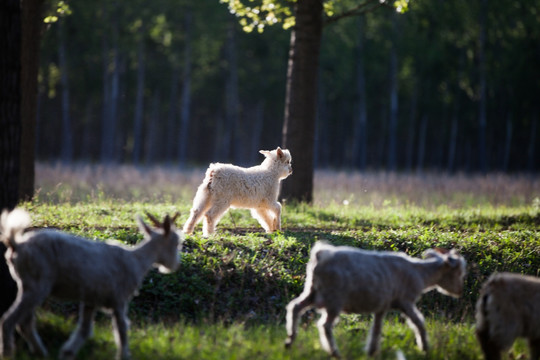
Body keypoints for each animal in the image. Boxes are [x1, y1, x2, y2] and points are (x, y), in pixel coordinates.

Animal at [0, 208, 184, 360]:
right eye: (177, 243)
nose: (176, 265)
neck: (137, 261)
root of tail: (16, 245)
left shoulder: (91, 299)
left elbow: (85, 330)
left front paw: (67, 352)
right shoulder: (118, 298)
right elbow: (122, 329)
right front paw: (123, 355)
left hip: (29, 284)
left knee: (25, 322)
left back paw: (40, 353)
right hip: (37, 283)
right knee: (11, 320)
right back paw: (9, 353)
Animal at [284, 242, 466, 358]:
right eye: (458, 272)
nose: (459, 292)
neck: (421, 273)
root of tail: (321, 255)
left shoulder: (382, 306)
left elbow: (377, 329)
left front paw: (371, 351)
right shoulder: (405, 301)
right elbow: (418, 323)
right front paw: (425, 348)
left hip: (312, 290)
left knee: (295, 307)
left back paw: (290, 340)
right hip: (334, 298)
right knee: (325, 325)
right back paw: (335, 353)